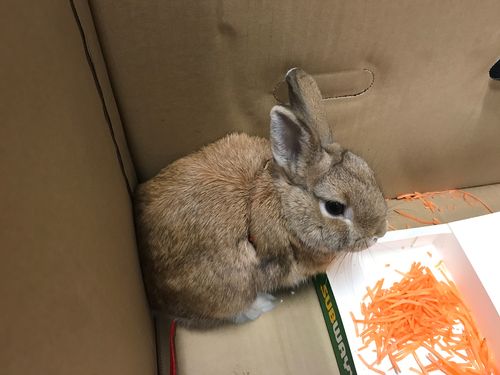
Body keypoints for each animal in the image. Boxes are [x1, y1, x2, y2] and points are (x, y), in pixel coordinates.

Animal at [133, 68, 386, 328]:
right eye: (335, 207)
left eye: (368, 172)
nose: (379, 233)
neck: (285, 210)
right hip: (227, 285)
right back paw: (262, 304)